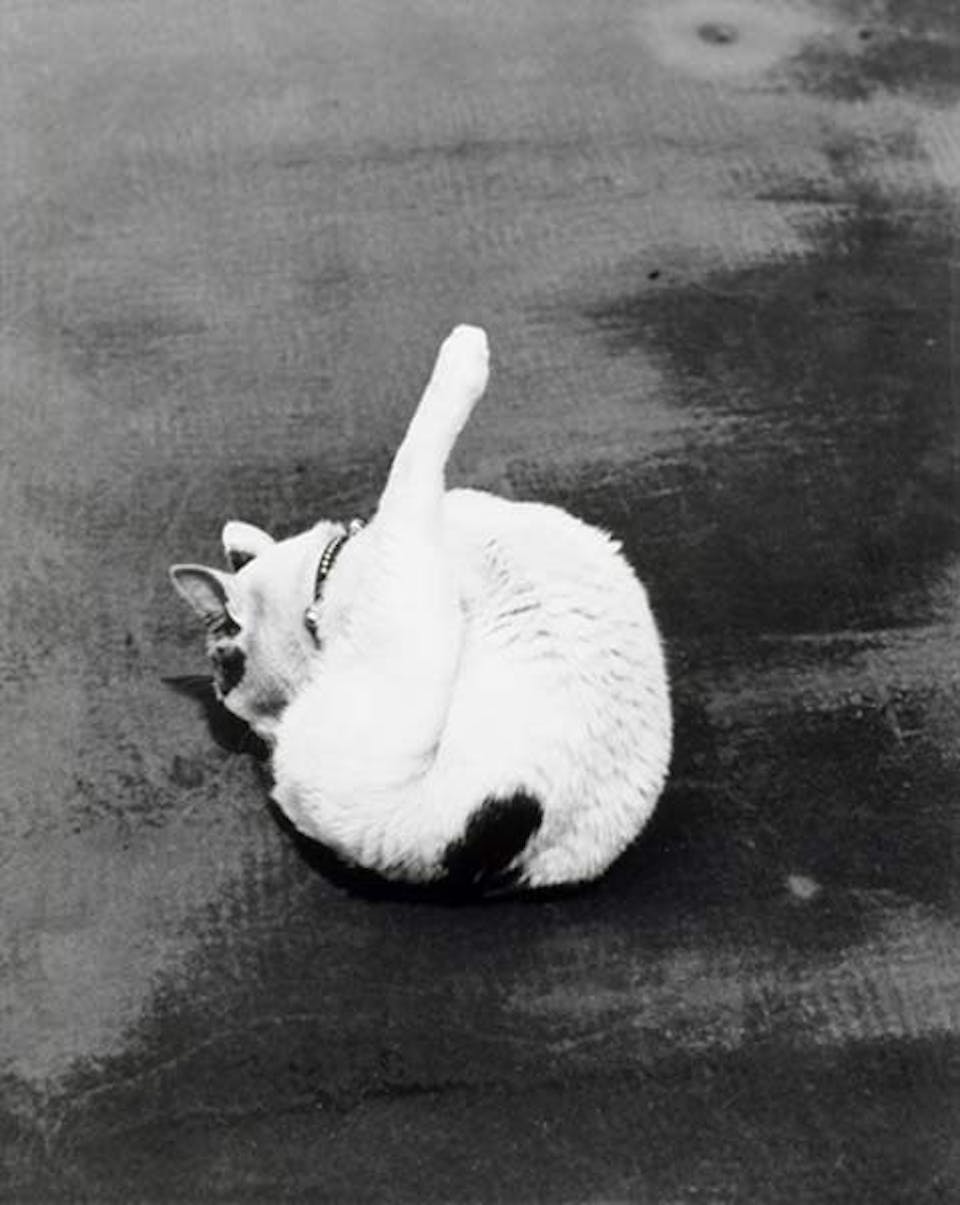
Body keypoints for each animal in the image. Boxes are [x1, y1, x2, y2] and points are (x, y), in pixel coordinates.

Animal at [170, 325, 672, 892]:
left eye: (228, 682)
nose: (269, 739)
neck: (333, 573)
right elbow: (412, 460)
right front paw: (465, 355)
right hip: (405, 625)